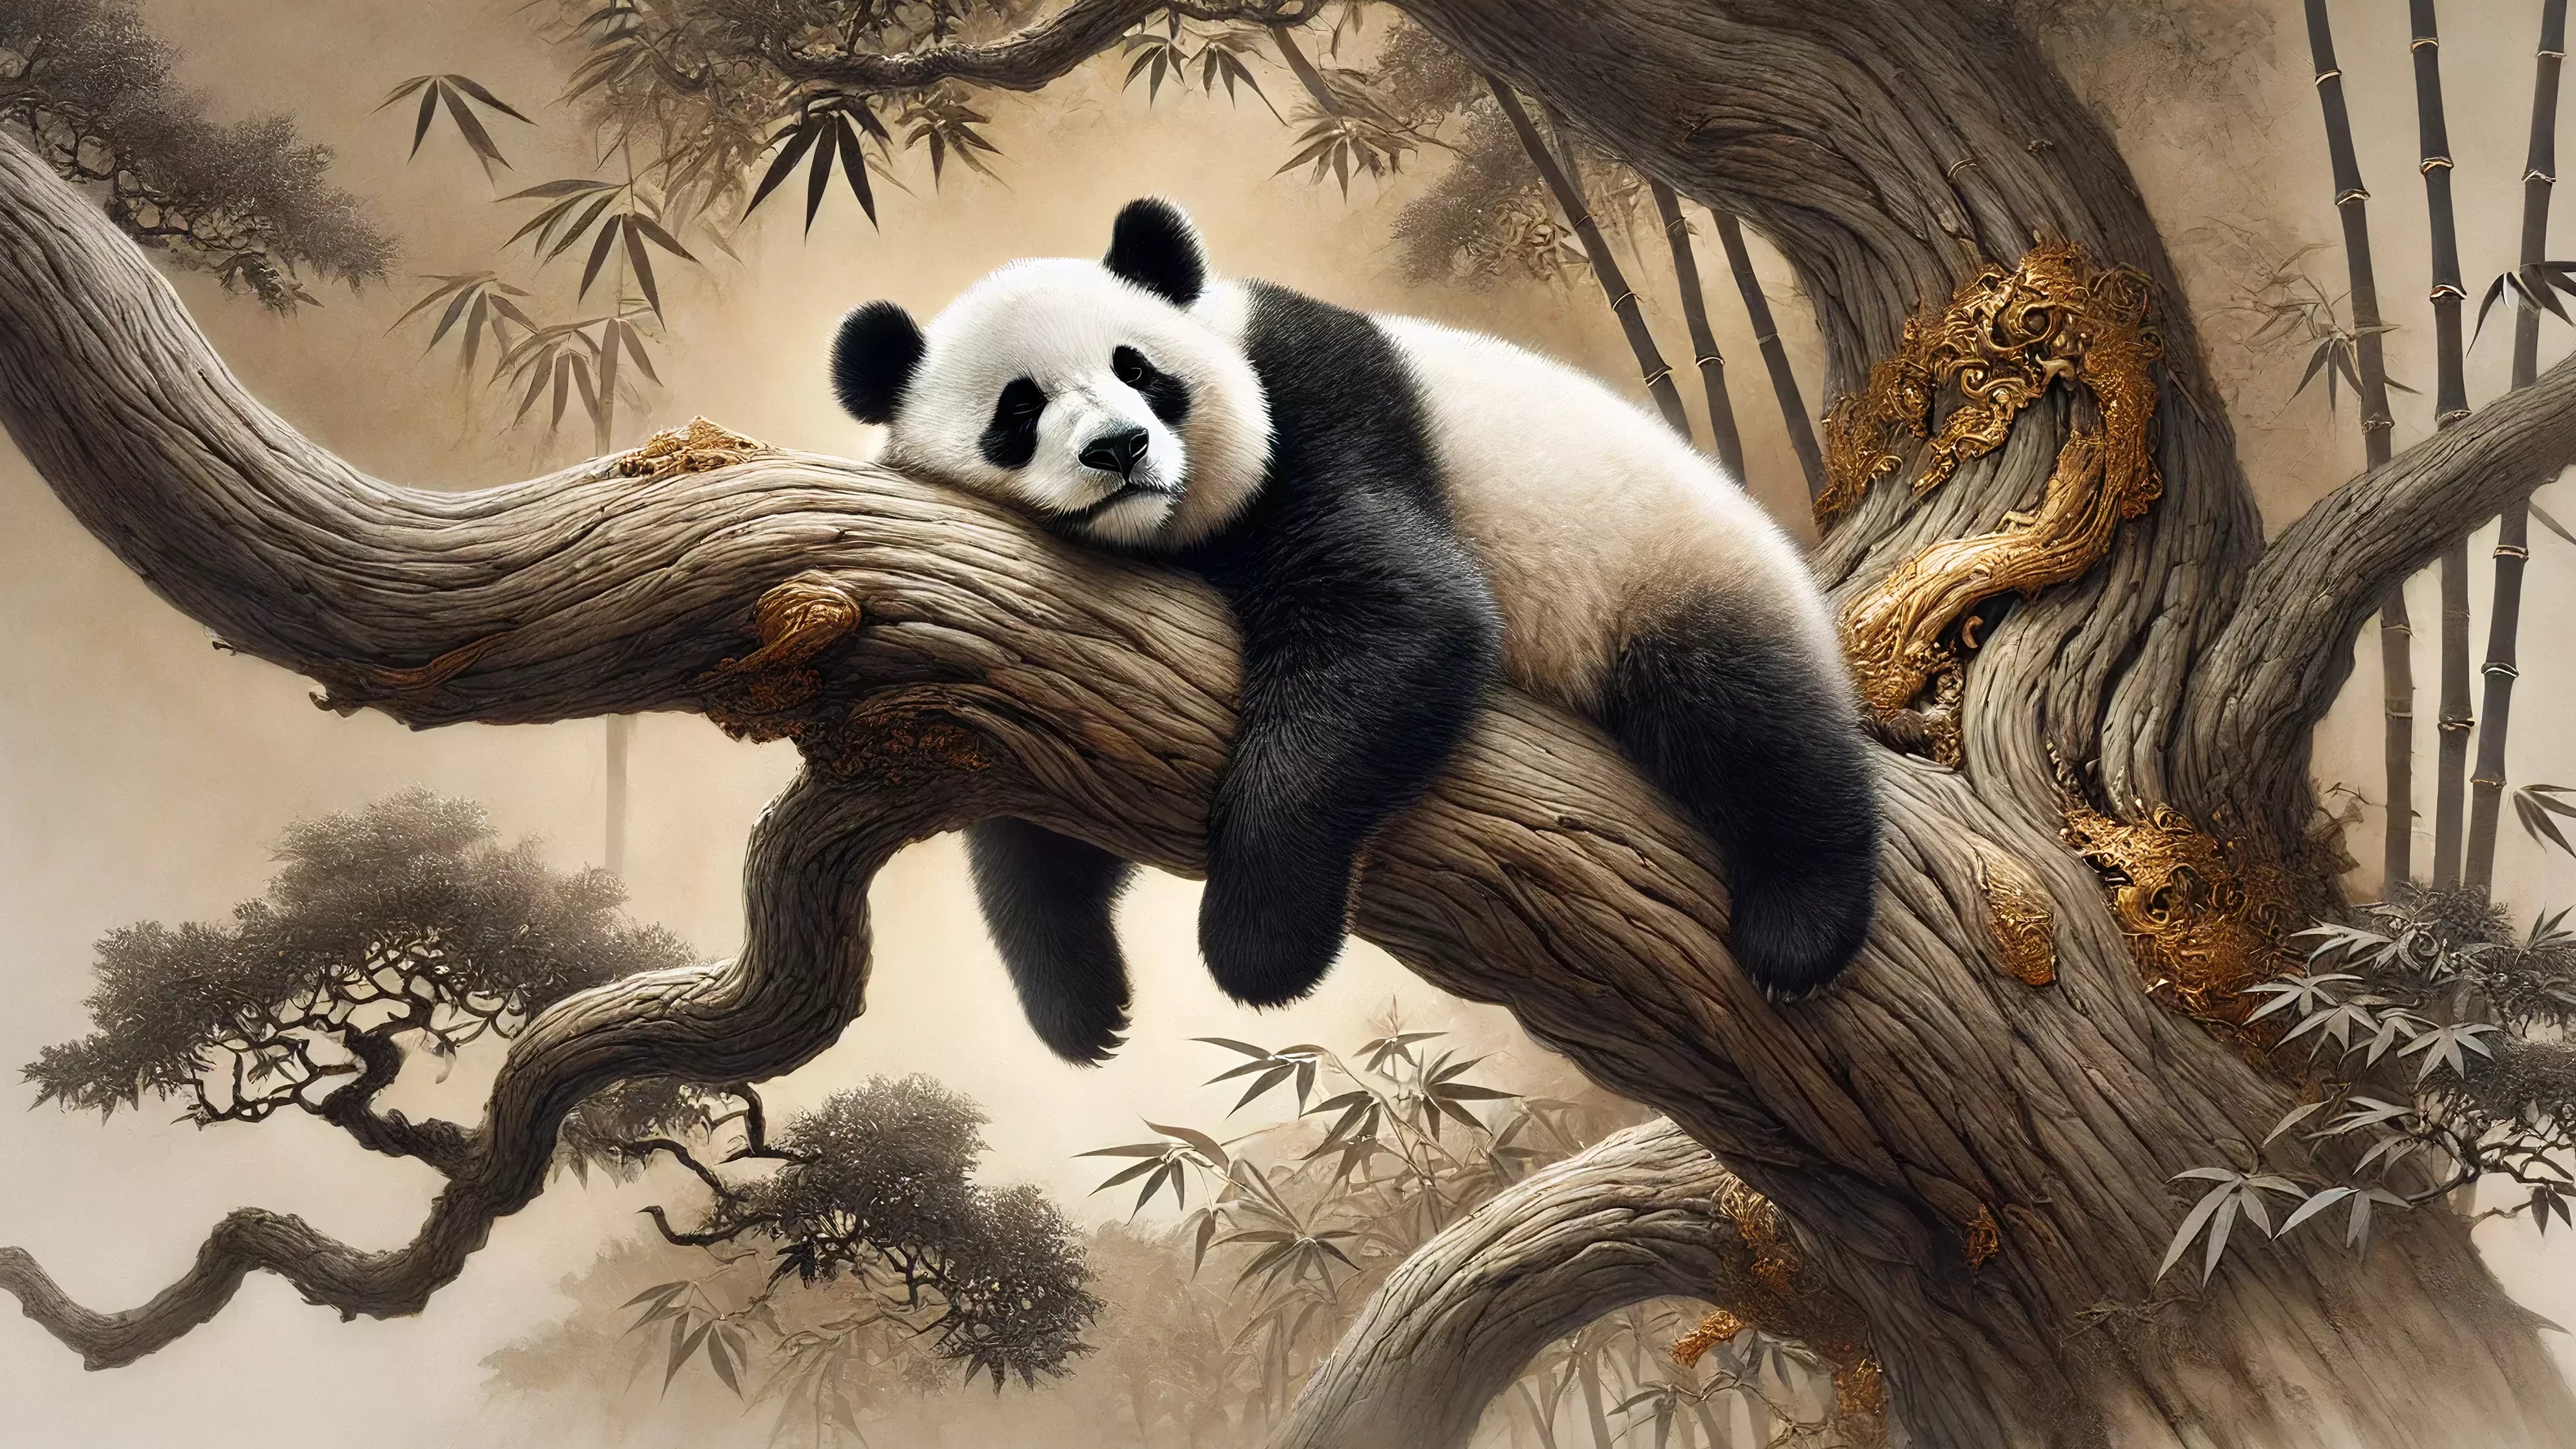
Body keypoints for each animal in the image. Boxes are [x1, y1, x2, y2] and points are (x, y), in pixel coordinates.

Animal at [830, 198, 1879, 1063]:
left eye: (1141, 371)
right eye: (1019, 408)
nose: (1120, 449)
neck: (1162, 535)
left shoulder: (1315, 413)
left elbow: (1400, 617)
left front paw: (1260, 947)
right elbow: (1029, 810)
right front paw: (1081, 1004)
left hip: (1667, 567)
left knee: (1745, 719)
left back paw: (1798, 930)